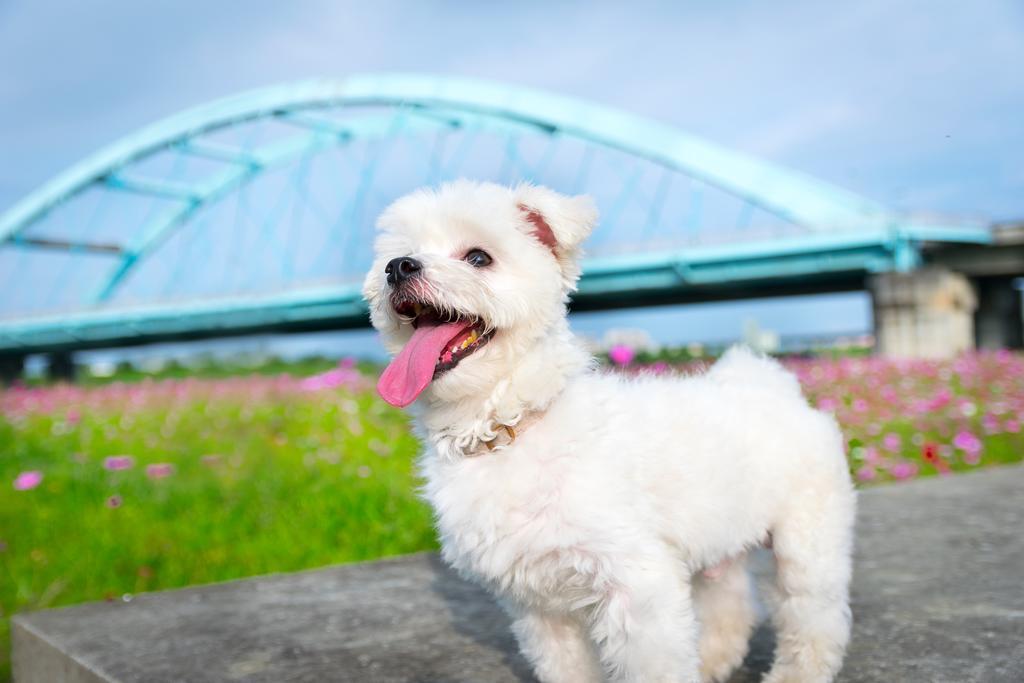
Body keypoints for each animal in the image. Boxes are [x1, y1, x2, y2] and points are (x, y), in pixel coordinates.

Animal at [362, 181, 856, 683]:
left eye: (478, 257)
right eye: (399, 254)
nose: (398, 267)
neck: (506, 427)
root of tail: (771, 384)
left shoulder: (638, 587)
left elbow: (656, 665)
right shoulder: (539, 607)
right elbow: (566, 667)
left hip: (807, 539)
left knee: (814, 617)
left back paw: (797, 671)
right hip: (721, 537)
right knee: (731, 603)